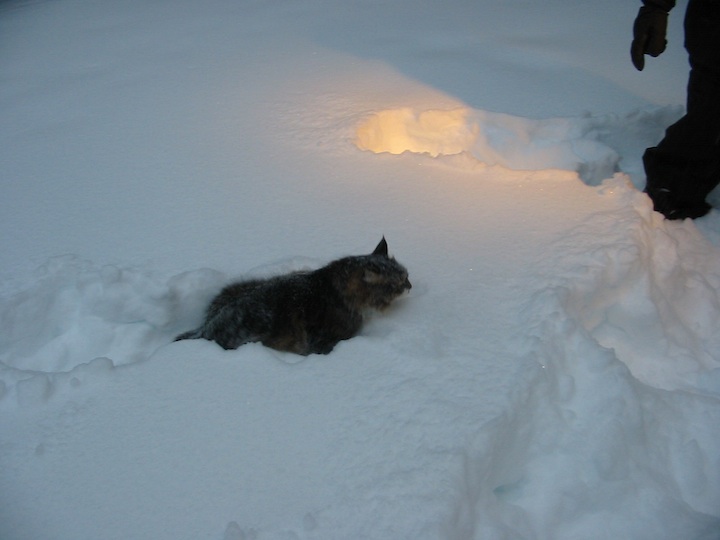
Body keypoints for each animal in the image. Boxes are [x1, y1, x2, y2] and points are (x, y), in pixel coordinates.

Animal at [174, 238, 410, 356]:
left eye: (406, 275)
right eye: (395, 284)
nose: (410, 286)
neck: (332, 287)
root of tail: (205, 328)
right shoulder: (325, 341)